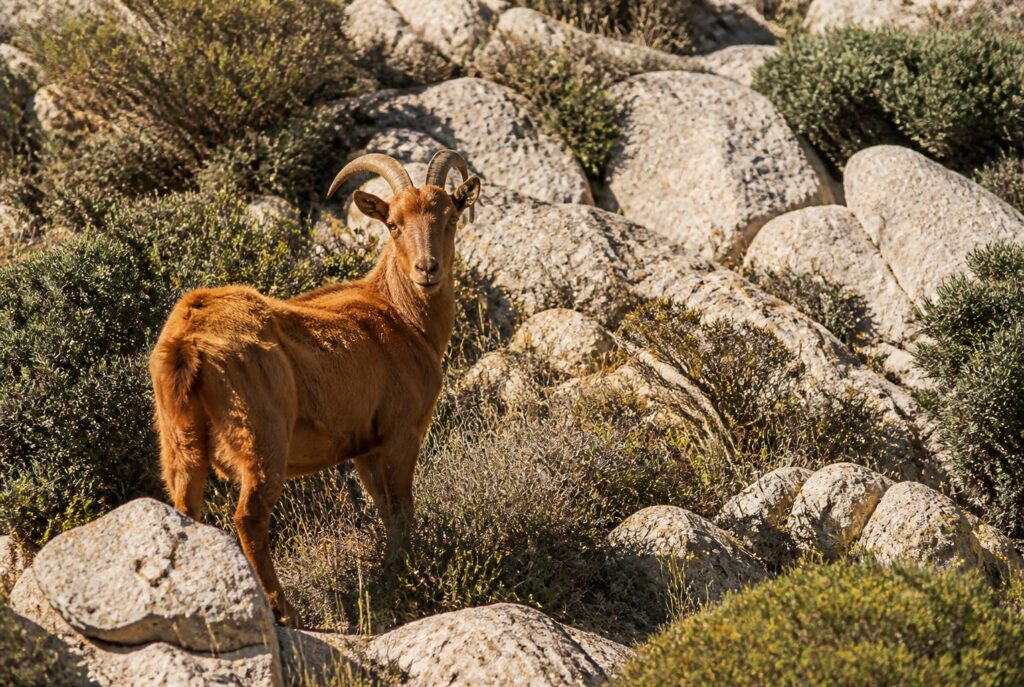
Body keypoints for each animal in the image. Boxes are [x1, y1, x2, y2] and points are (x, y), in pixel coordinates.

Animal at [149, 151, 480, 627]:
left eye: (451, 216)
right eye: (393, 224)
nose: (428, 269)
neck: (400, 315)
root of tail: (187, 343)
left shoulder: (366, 447)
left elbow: (385, 507)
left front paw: (390, 571)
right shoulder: (402, 431)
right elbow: (402, 508)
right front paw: (409, 573)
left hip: (178, 441)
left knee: (184, 511)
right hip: (262, 438)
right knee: (249, 518)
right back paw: (284, 611)